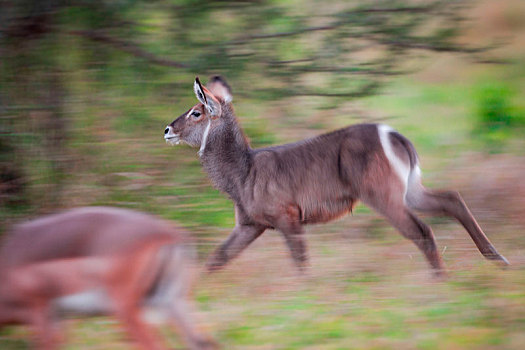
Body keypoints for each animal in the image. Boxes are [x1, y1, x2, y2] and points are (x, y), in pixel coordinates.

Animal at [0, 206, 215, 348]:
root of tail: (171, 236)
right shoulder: (58, 319)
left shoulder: (40, 315)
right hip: (175, 302)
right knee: (202, 341)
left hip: (126, 309)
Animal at [164, 76, 508, 276]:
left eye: (196, 111)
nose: (167, 130)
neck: (242, 173)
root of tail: (393, 134)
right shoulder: (250, 225)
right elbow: (217, 258)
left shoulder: (288, 216)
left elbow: (301, 262)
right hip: (410, 189)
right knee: (452, 199)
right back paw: (497, 260)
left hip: (382, 195)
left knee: (422, 229)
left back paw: (441, 281)